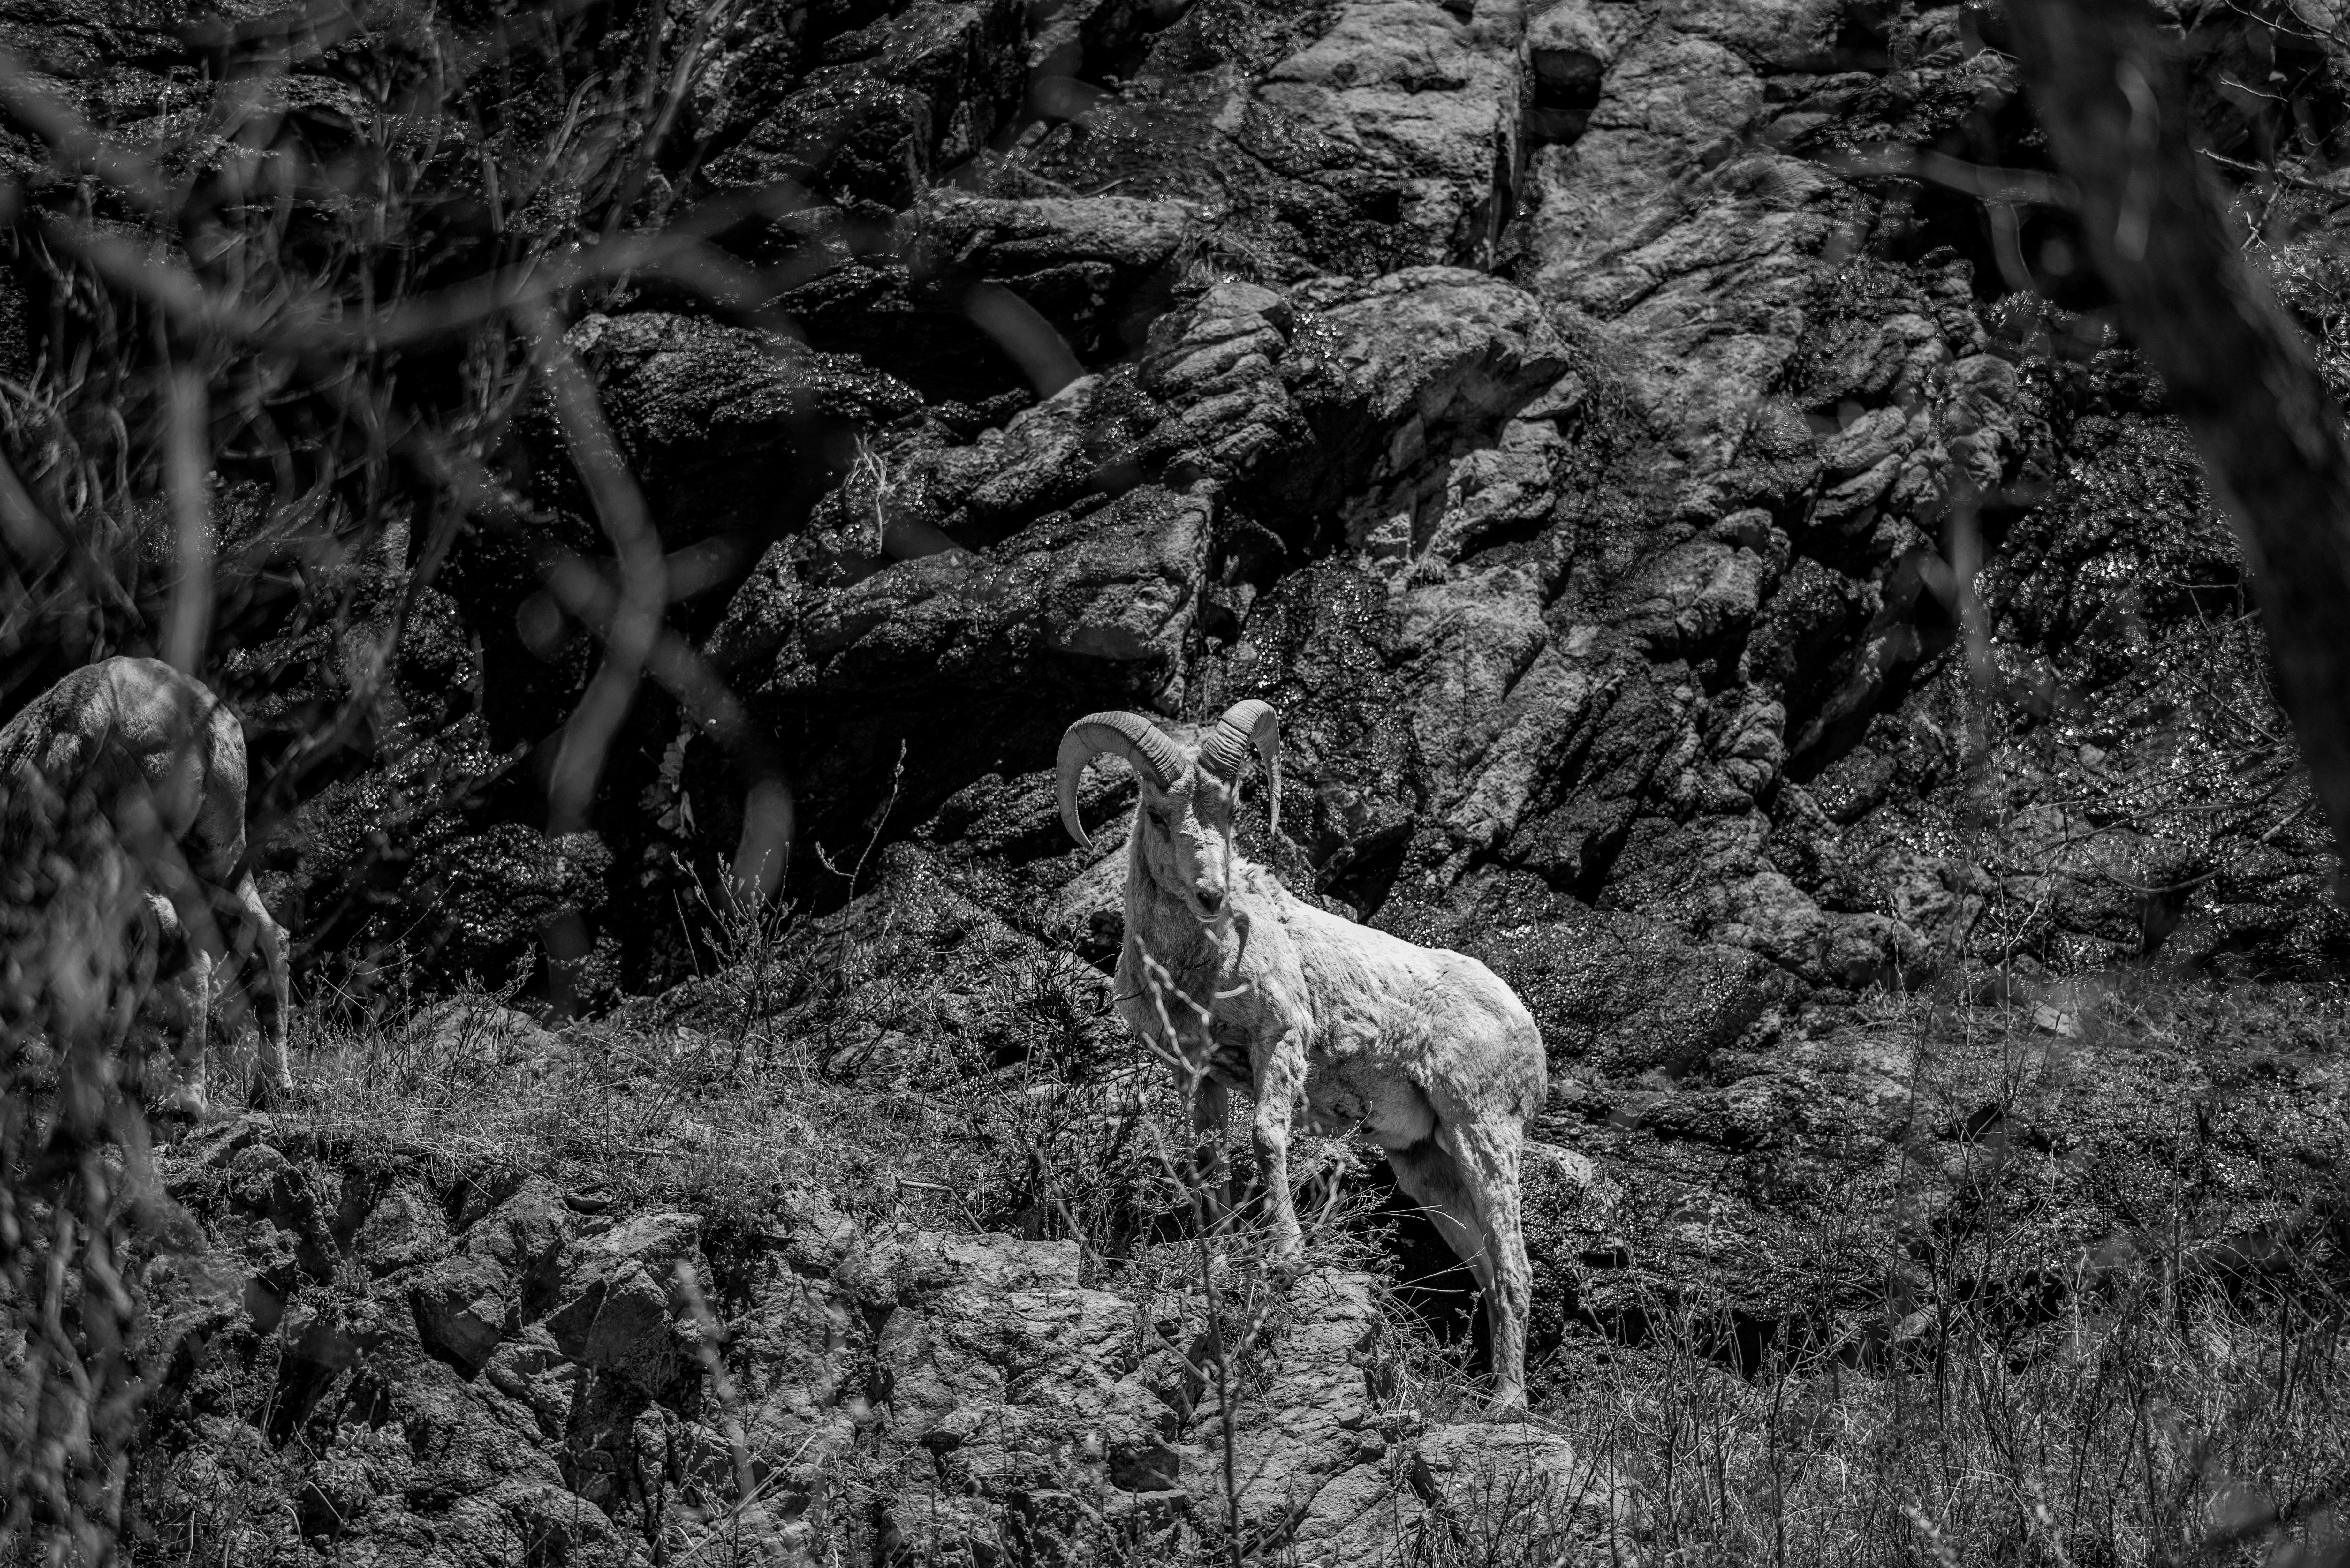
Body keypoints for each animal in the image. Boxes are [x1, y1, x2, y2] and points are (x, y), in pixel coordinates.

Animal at [1, 656, 294, 1113]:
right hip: (218, 851)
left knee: (178, 951)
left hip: (131, 855)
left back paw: (182, 1101)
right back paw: (271, 1086)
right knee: (265, 937)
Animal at [1057, 701, 1550, 1412]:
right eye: (1156, 813)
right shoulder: (1196, 1071)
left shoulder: (1281, 1041)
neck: (1195, 968)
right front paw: (1220, 1259)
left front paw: (1285, 1256)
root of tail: (1523, 1026)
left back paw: (1505, 1402)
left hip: (1483, 1133)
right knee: (1483, 1265)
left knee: (1512, 1266)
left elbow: (1267, 1140)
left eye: (1233, 808)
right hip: (1426, 1167)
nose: (1210, 894)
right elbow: (1208, 1160)